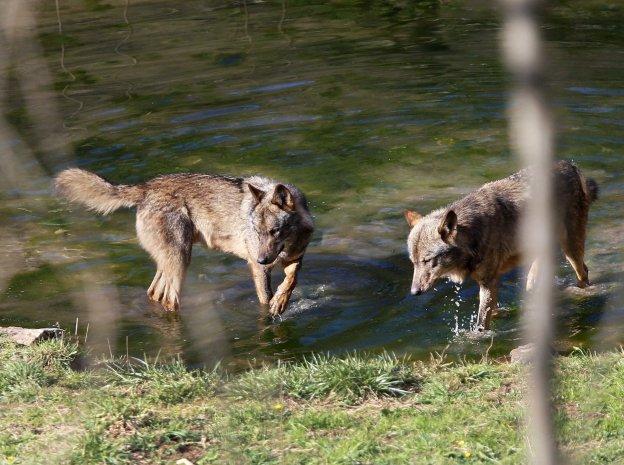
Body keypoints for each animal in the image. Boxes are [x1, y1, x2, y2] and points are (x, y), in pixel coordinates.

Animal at [54, 169, 312, 314]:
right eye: (256, 231)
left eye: (275, 231)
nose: (262, 259)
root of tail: (146, 186)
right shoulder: (257, 267)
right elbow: (264, 298)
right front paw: (271, 310)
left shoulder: (295, 259)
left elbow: (291, 280)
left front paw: (280, 301)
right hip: (180, 261)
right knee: (168, 298)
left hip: (172, 262)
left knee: (154, 293)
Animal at [404, 160, 600, 330]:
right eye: (413, 263)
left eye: (427, 260)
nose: (414, 292)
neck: (473, 232)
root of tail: (570, 165)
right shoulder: (489, 283)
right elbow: (492, 310)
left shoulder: (488, 282)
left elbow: (481, 323)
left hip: (571, 248)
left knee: (583, 271)